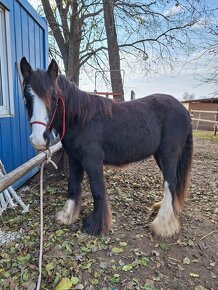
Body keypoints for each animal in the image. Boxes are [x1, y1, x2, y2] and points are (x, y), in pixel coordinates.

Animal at [19, 57, 192, 238]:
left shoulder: (92, 160)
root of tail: (183, 110)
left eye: (53, 97)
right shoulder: (74, 159)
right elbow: (73, 185)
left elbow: (97, 190)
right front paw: (67, 216)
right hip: (160, 156)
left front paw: (96, 226)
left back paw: (162, 224)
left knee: (170, 183)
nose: (38, 139)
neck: (81, 119)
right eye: (26, 97)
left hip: (168, 154)